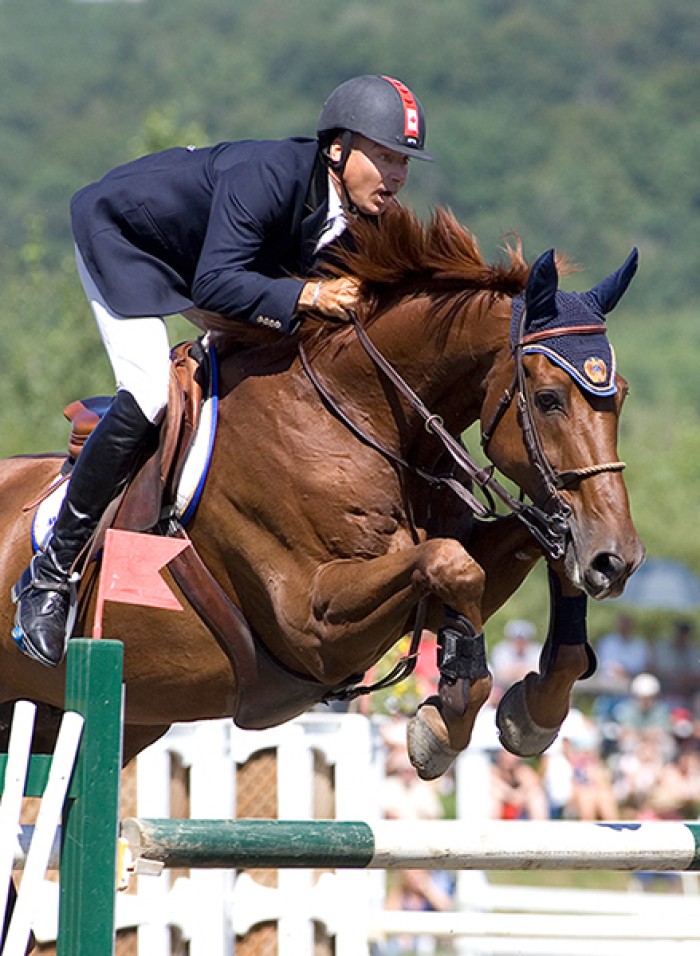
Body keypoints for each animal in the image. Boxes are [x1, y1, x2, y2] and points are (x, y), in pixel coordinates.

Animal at [0, 207, 644, 776]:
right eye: (548, 398)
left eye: (621, 394)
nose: (617, 559)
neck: (360, 415)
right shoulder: (309, 624)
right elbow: (453, 564)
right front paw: (442, 726)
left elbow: (521, 562)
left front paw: (534, 713)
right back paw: (42, 612)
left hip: (104, 719)